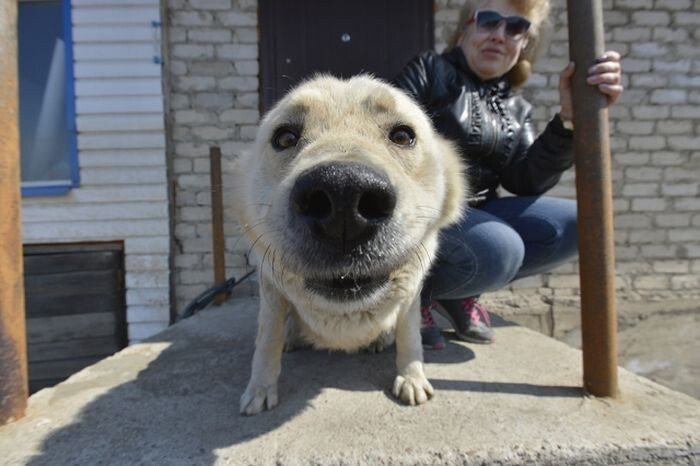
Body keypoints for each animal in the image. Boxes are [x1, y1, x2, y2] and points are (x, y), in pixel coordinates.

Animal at [232, 75, 468, 416]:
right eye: (285, 137)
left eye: (402, 135)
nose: (343, 195)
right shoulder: (271, 289)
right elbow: (267, 340)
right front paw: (260, 389)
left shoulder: (411, 294)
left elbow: (410, 337)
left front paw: (411, 377)